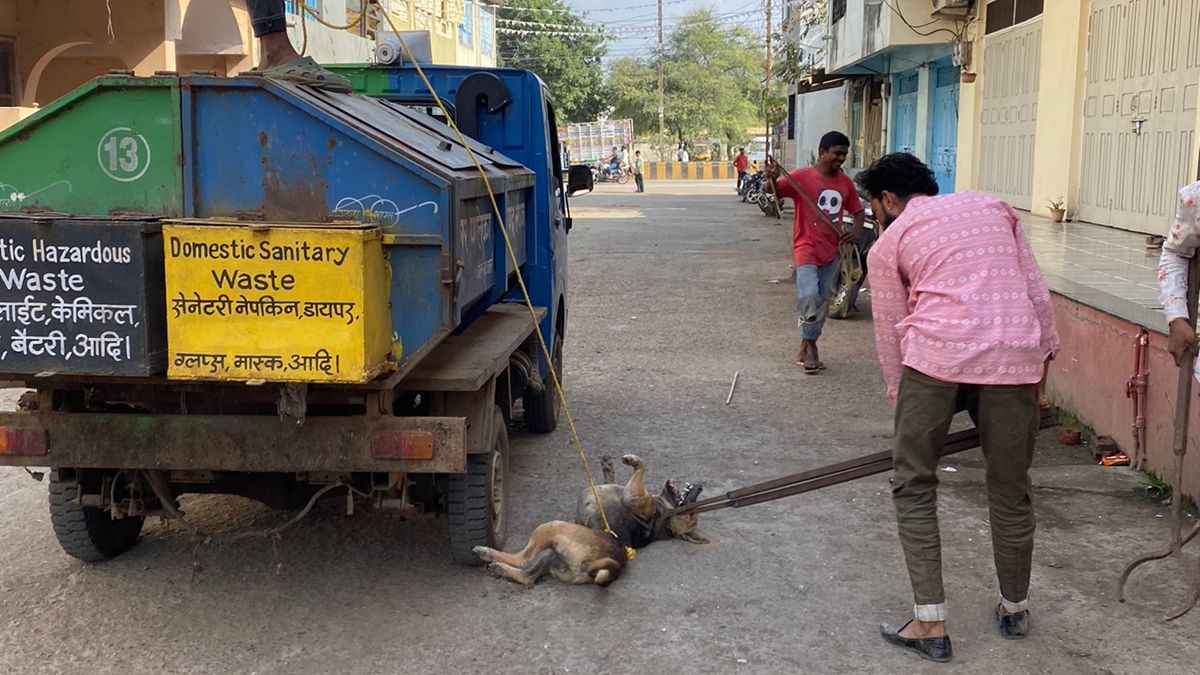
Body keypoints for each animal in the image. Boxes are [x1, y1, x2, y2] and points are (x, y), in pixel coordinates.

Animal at [472, 454, 705, 586]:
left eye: (692, 514)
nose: (701, 487)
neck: (663, 514)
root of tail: (615, 563)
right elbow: (610, 477)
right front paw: (608, 467)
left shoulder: (633, 495)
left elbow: (642, 466)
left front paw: (632, 459)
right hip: (551, 554)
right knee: (528, 577)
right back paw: (498, 568)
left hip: (552, 528)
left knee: (524, 558)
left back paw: (486, 552)